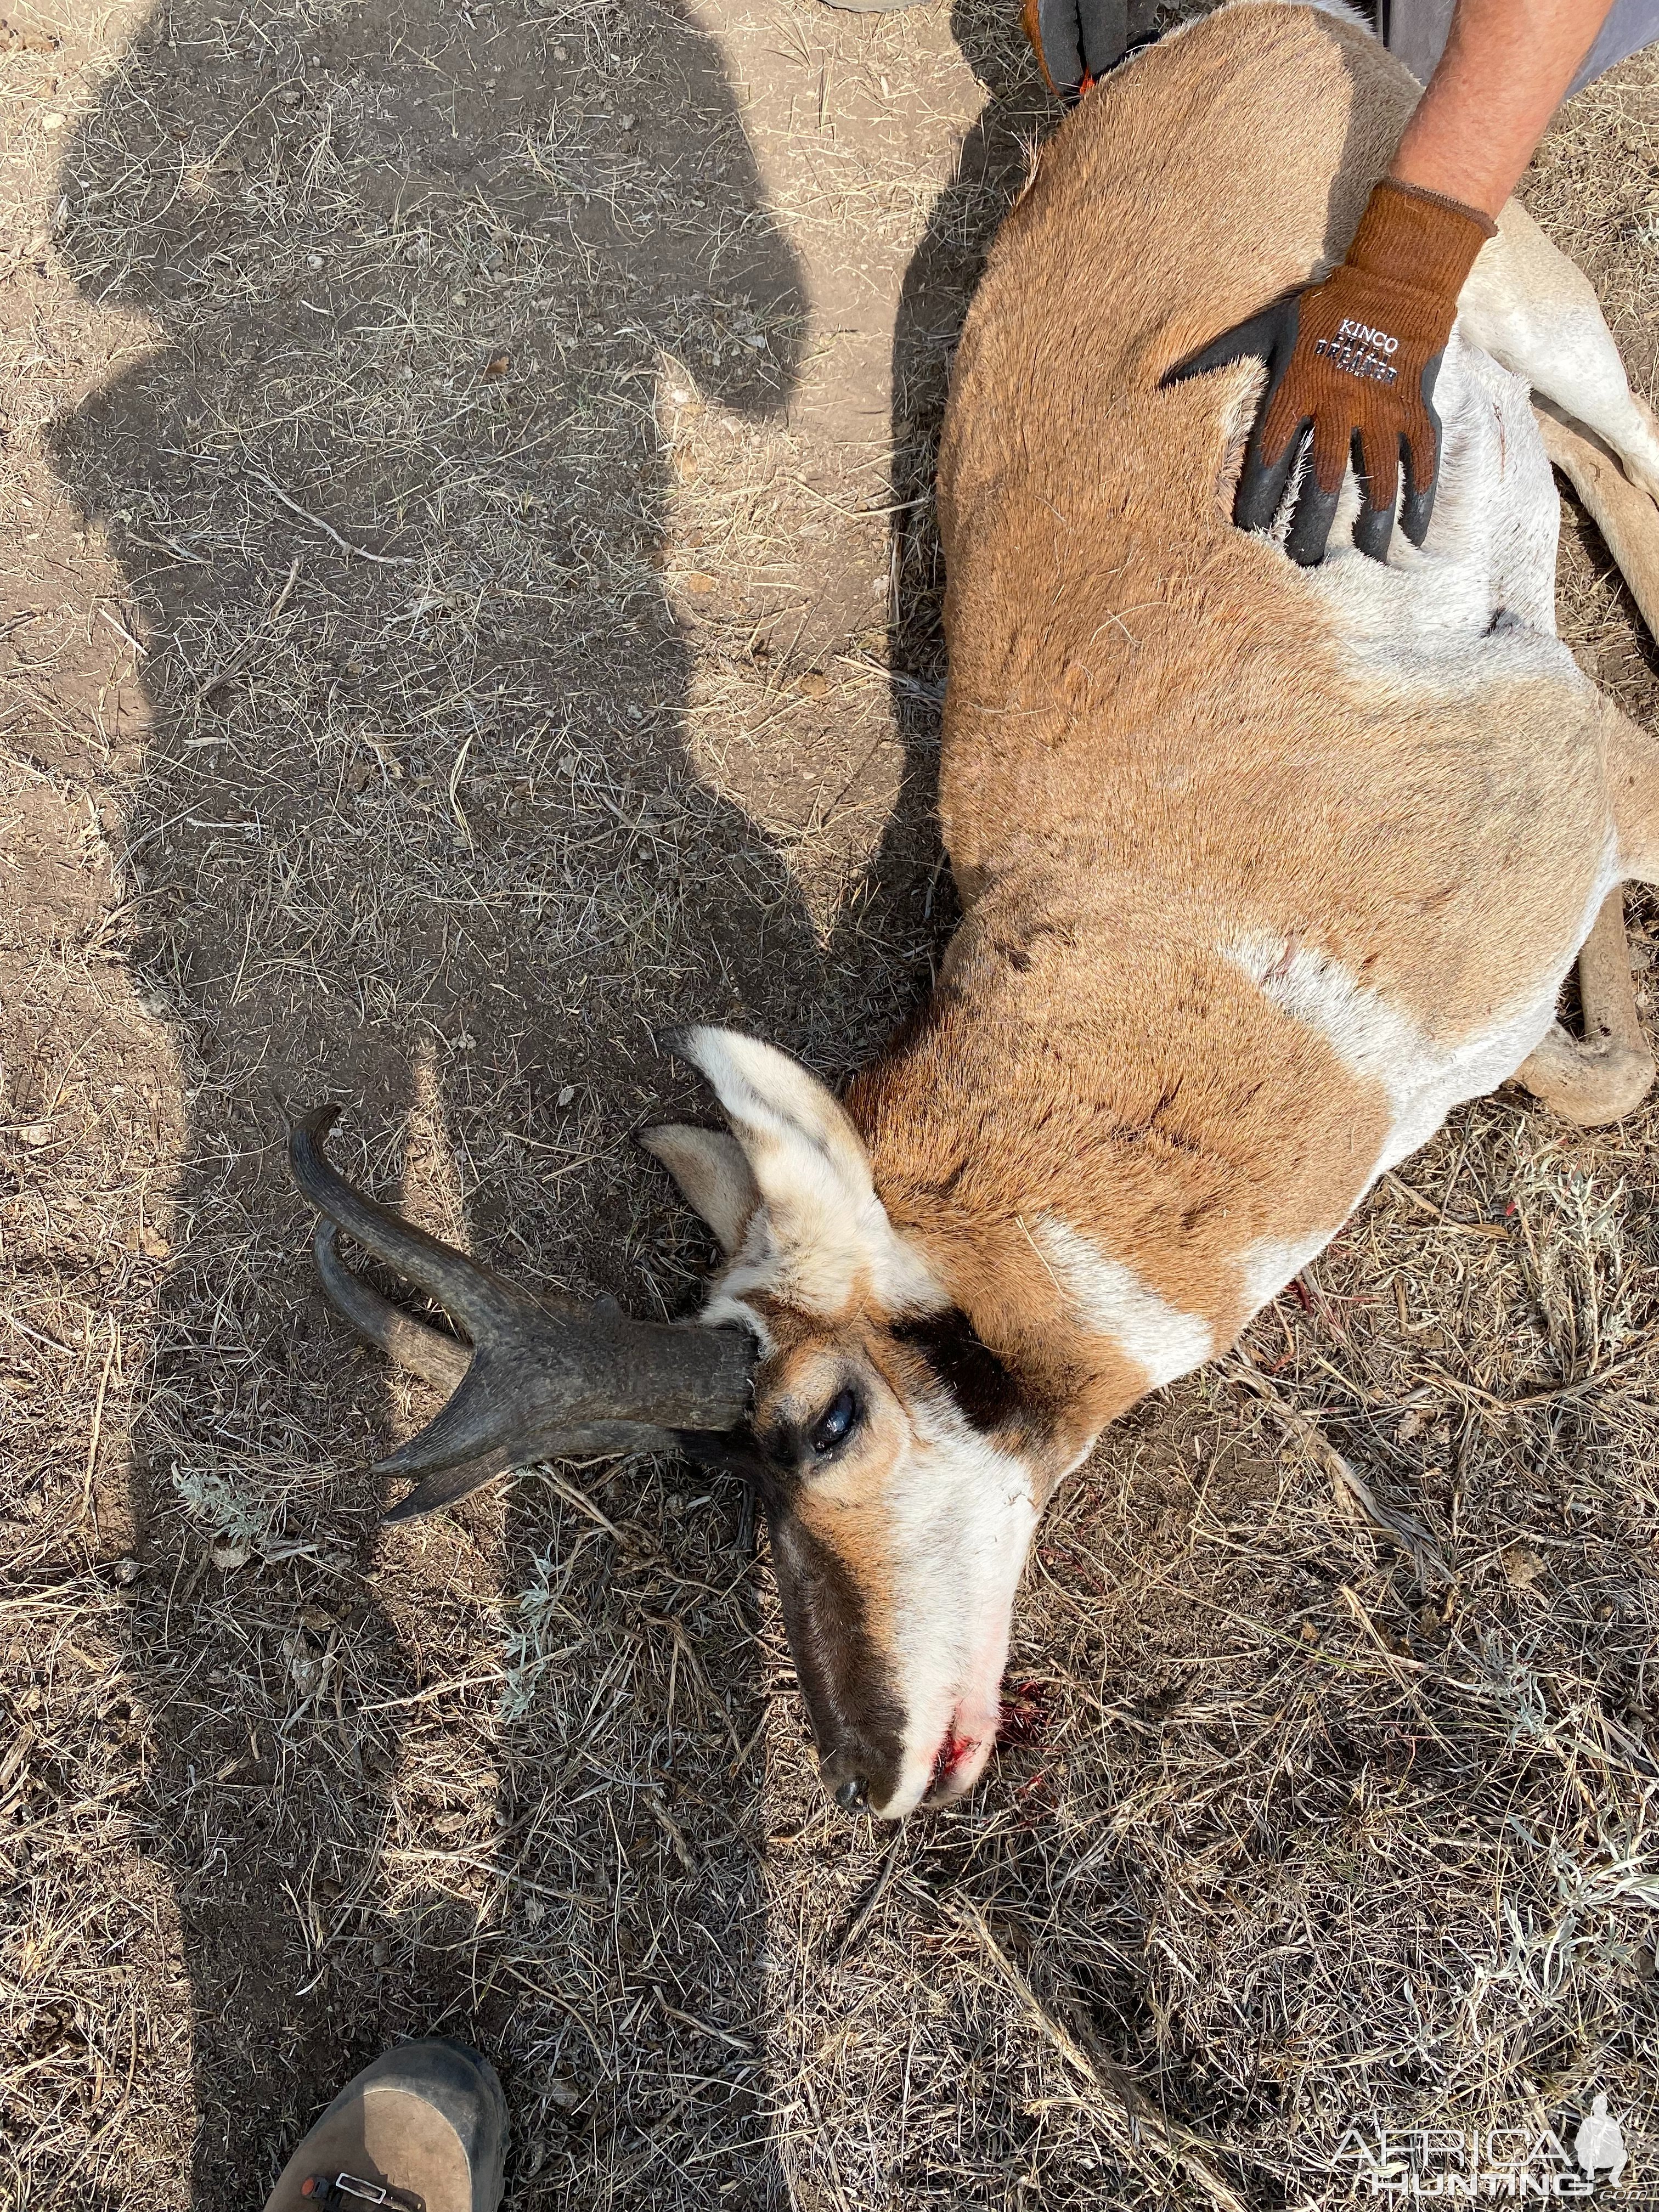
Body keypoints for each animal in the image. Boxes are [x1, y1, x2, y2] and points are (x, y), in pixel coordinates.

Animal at [292, 0, 1659, 1822]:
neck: (1194, 959)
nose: (863, 1768)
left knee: (1633, 451)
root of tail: (1190, 44)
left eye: (821, 1425)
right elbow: (1589, 1075)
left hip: (1547, 309)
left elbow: (1605, 1062)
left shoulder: (1605, 772)